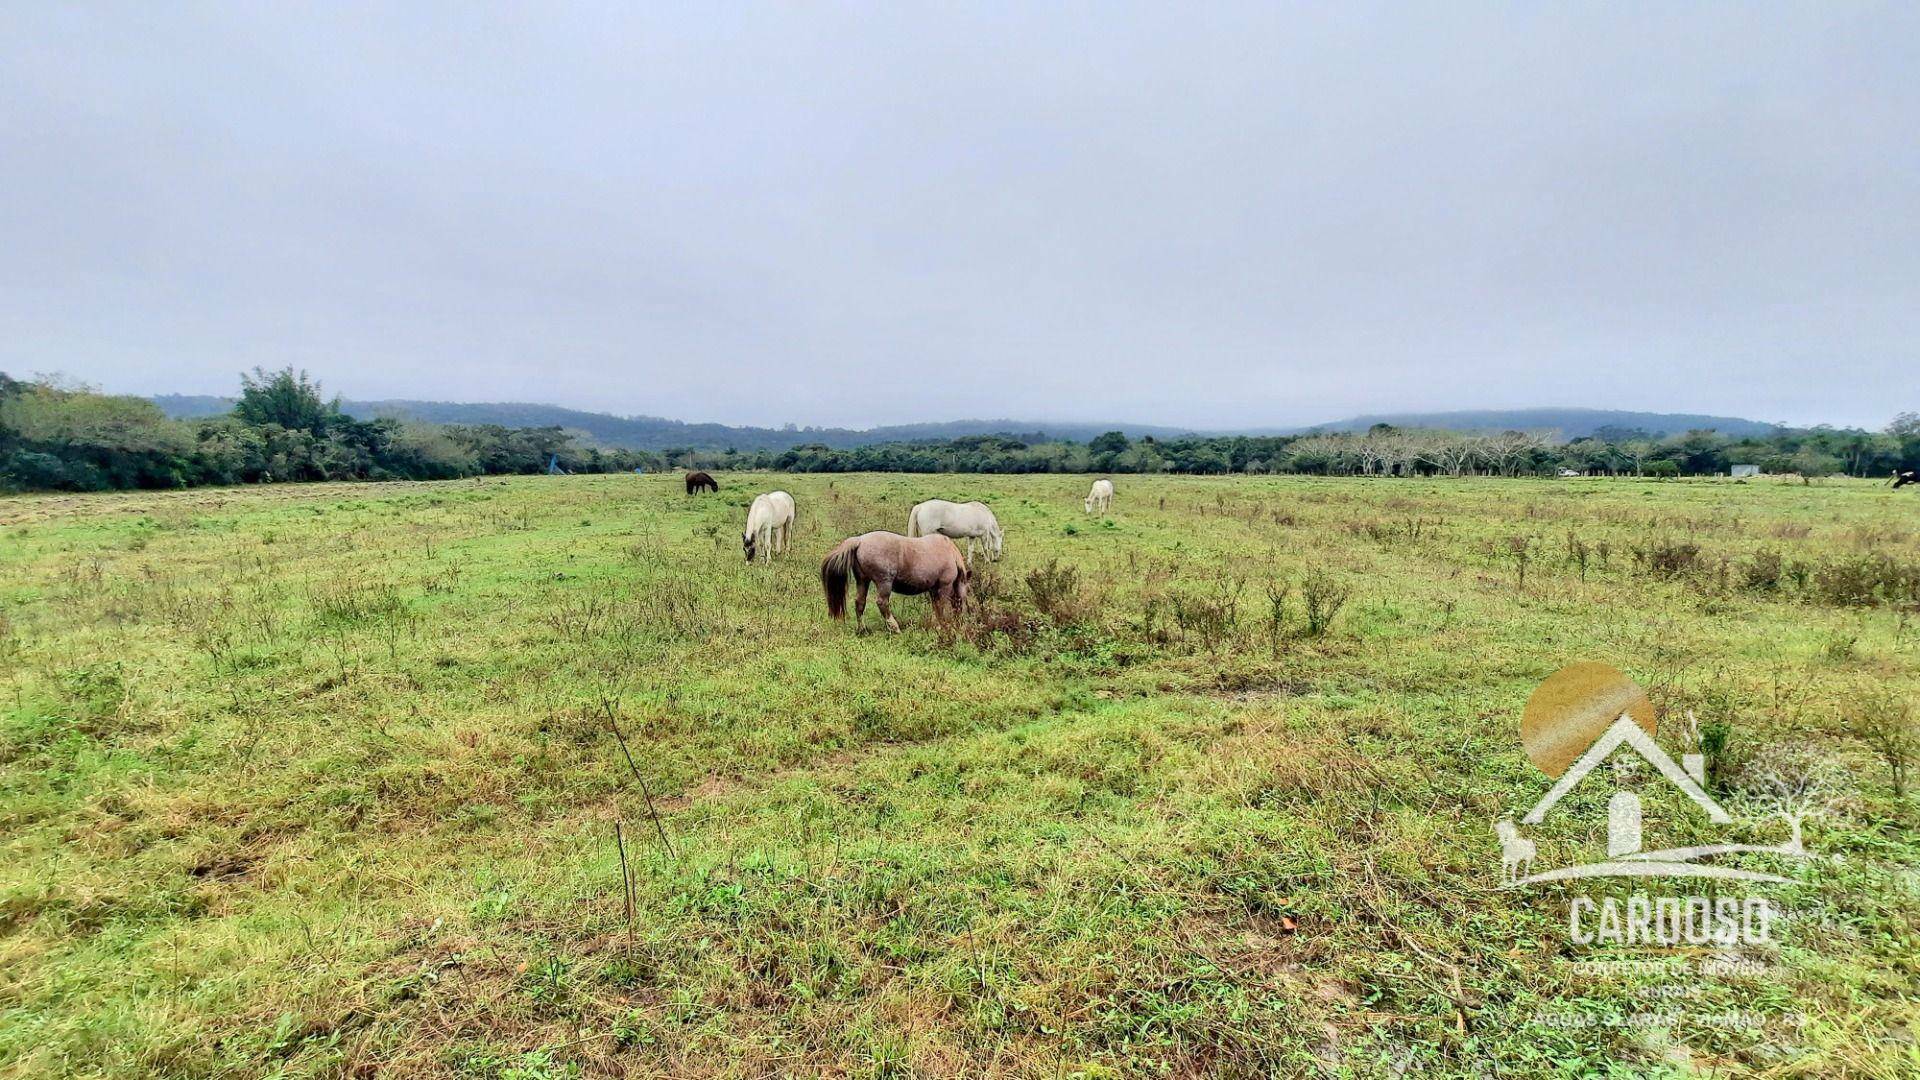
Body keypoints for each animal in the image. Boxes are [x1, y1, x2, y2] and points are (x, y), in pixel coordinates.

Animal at [825, 530, 975, 630]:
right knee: (882, 602)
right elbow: (941, 606)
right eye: (968, 590)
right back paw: (895, 627)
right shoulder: (944, 586)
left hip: (863, 581)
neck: (950, 552)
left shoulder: (933, 590)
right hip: (884, 583)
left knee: (860, 603)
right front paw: (941, 626)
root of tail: (860, 540)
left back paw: (862, 629)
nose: (960, 619)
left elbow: (936, 607)